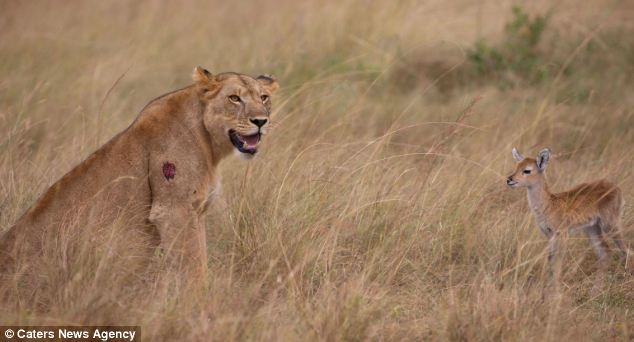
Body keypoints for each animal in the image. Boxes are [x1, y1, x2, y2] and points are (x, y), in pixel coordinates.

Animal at [506, 148, 624, 282]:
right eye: (516, 166)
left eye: (527, 170)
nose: (509, 179)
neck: (549, 204)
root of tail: (616, 188)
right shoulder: (549, 235)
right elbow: (551, 260)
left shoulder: (562, 234)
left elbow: (557, 262)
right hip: (592, 229)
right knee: (605, 253)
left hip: (610, 224)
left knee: (624, 250)